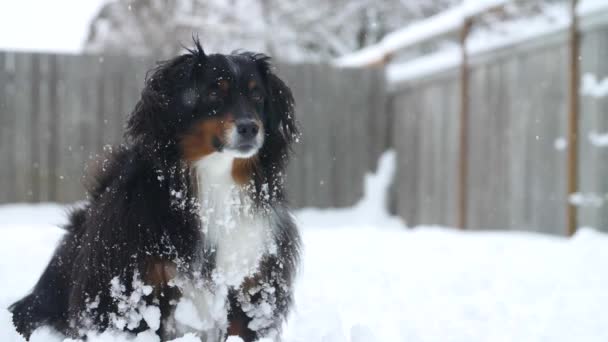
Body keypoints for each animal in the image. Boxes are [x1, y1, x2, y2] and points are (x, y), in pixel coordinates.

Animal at [8, 38, 302, 340]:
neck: (214, 179)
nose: (250, 128)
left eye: (257, 96)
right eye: (213, 93)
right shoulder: (132, 287)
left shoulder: (251, 285)